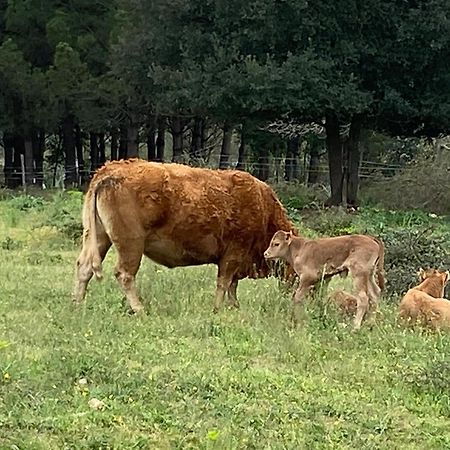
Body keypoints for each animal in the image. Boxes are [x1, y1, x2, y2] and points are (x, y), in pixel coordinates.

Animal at [73, 161, 296, 312]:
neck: (263, 209)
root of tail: (108, 171)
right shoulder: (233, 254)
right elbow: (224, 283)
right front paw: (218, 308)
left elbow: (231, 285)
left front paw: (234, 306)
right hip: (131, 244)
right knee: (124, 273)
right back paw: (140, 309)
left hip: (99, 237)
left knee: (84, 267)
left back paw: (77, 304)